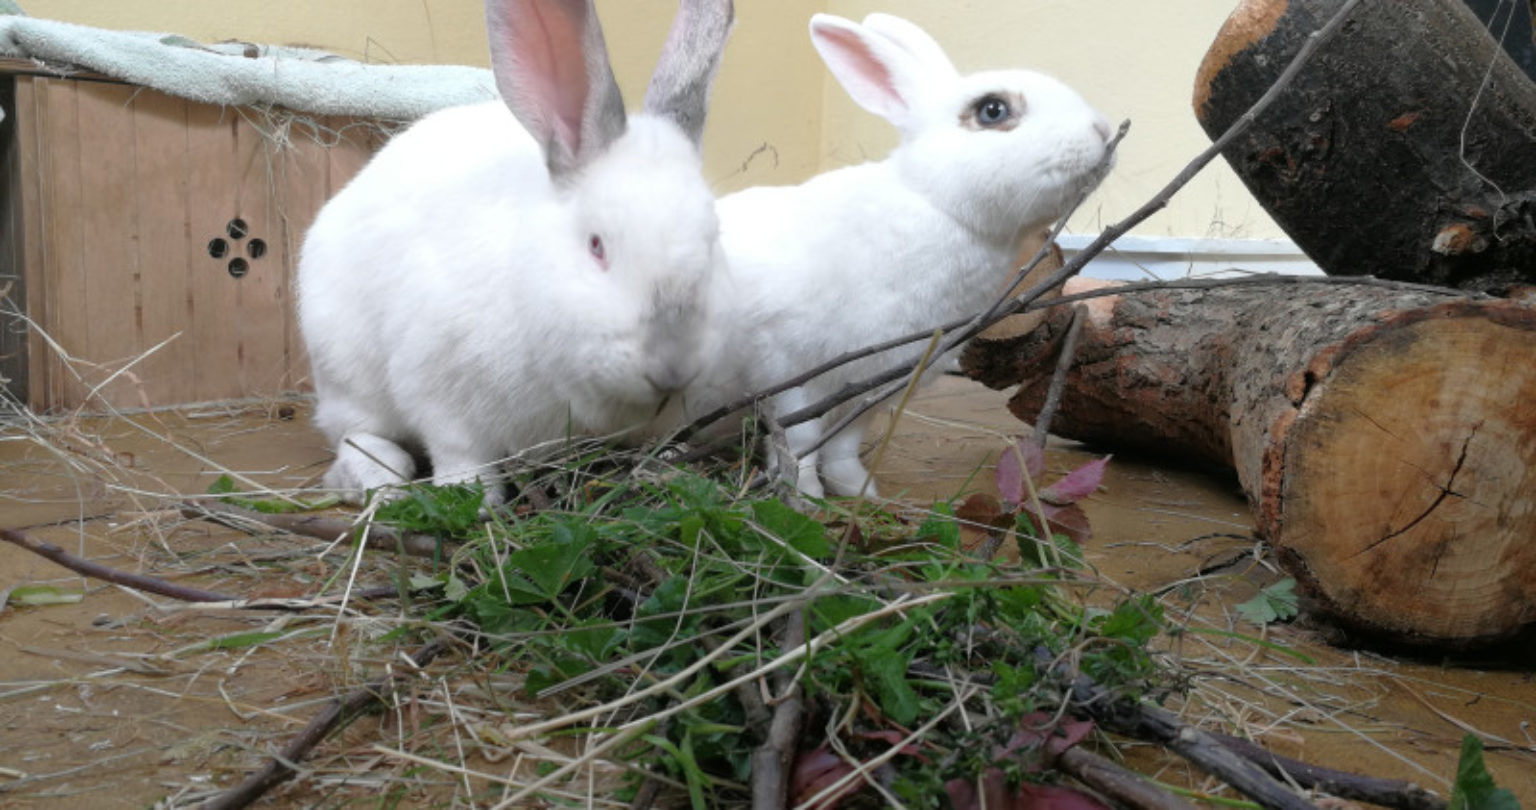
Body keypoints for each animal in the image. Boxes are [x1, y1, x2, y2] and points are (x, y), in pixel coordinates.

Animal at [298, 0, 734, 505]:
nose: (673, 365)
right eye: (596, 245)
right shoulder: (438, 393)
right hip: (347, 375)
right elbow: (461, 455)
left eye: (714, 237)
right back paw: (383, 482)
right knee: (354, 439)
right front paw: (475, 499)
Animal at [684, 12, 1115, 499]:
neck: (937, 206)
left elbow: (845, 445)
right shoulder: (791, 368)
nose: (1103, 131)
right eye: (993, 110)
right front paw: (807, 495)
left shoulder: (877, 385)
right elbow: (800, 439)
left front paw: (862, 493)